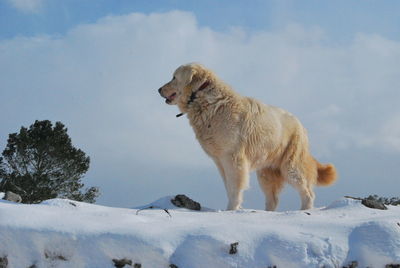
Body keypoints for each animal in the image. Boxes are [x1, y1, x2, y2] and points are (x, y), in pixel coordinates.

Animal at [158, 63, 336, 210]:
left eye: (174, 77)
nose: (158, 89)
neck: (204, 99)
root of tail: (300, 124)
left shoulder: (233, 159)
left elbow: (234, 189)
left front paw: (231, 210)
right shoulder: (220, 161)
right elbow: (229, 188)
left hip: (290, 166)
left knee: (308, 192)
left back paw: (304, 210)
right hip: (266, 173)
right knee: (273, 199)